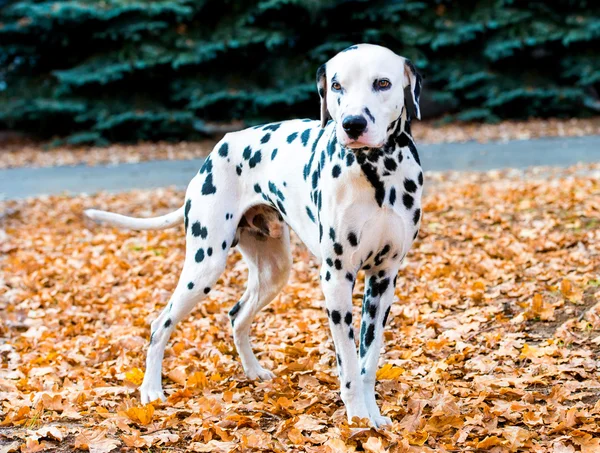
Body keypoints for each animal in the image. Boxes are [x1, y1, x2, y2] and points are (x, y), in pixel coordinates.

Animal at [85, 43, 422, 428]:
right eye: (337, 85)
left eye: (382, 83)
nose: (352, 124)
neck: (378, 172)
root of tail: (217, 149)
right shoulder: (337, 278)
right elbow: (349, 364)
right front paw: (357, 420)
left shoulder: (384, 279)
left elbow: (368, 360)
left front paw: (374, 417)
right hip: (204, 268)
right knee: (160, 324)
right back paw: (151, 390)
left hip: (273, 273)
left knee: (236, 315)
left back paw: (253, 371)